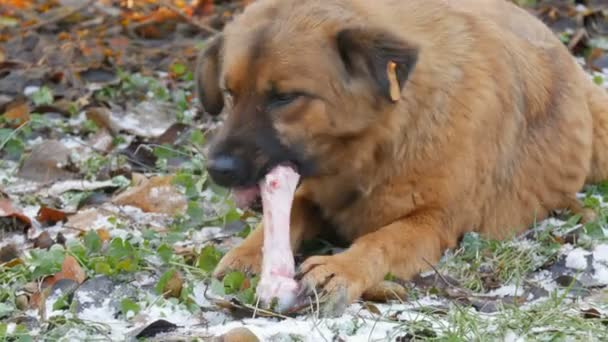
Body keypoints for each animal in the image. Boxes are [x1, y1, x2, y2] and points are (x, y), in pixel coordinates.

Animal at [194, 0, 608, 316]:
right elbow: (287, 215)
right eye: (229, 94)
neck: (376, 148)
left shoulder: (432, 222)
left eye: (284, 97)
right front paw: (249, 253)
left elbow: (381, 240)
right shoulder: (313, 192)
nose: (218, 170)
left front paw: (341, 268)